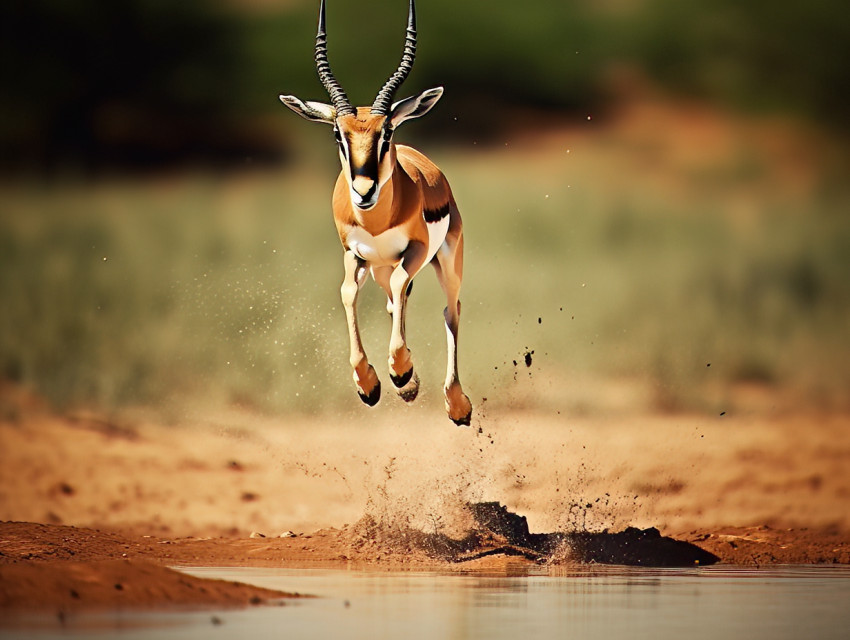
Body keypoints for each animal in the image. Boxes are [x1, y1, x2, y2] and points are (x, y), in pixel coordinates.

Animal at [279, 0, 472, 425]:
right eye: (338, 133)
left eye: (387, 132)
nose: (363, 190)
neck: (376, 220)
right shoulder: (353, 254)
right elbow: (348, 293)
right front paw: (371, 384)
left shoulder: (415, 250)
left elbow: (402, 286)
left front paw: (399, 371)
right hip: (379, 265)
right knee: (392, 300)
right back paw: (409, 387)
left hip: (446, 260)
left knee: (450, 309)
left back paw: (455, 404)